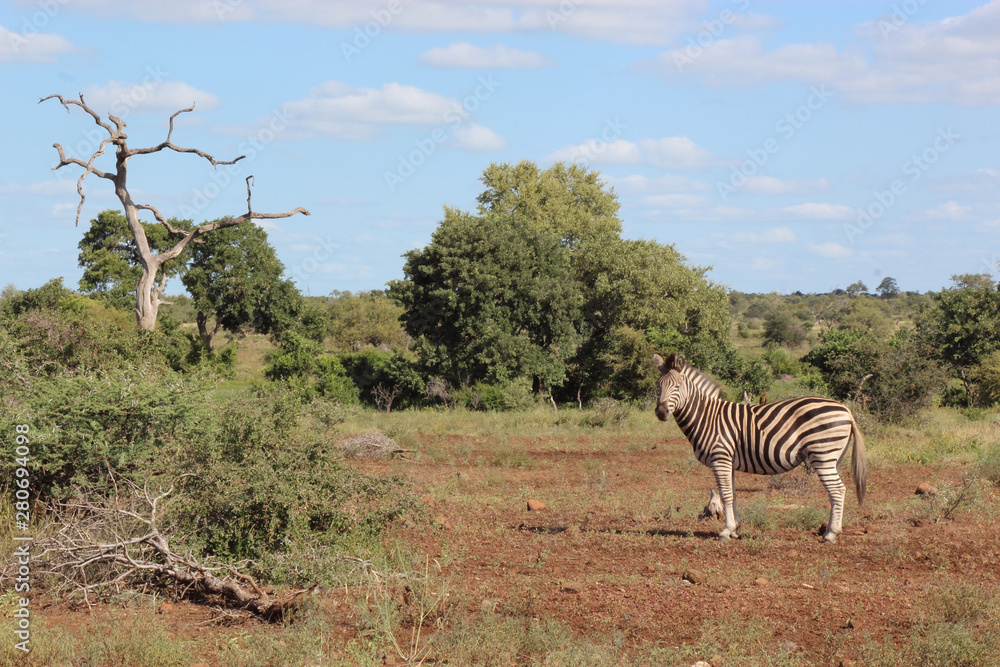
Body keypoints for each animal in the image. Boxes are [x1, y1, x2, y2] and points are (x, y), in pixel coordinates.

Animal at [652, 352, 867, 543]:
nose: (661, 412)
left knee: (838, 490)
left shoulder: (720, 458)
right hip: (834, 458)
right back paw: (830, 531)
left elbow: (725, 494)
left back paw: (831, 534)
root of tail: (846, 409)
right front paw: (735, 529)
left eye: (677, 386)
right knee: (837, 491)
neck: (707, 417)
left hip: (823, 455)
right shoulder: (728, 461)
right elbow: (732, 493)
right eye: (658, 386)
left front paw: (726, 531)